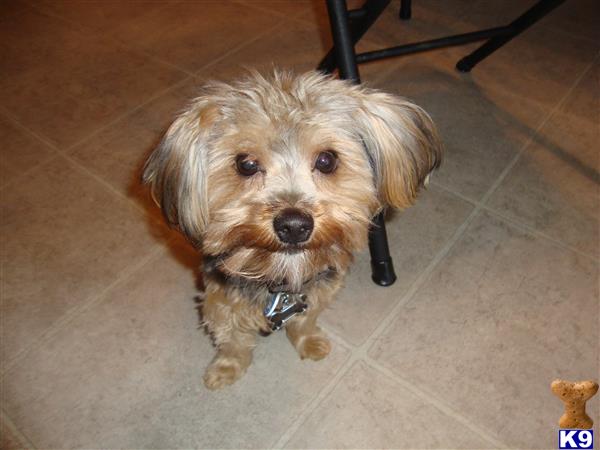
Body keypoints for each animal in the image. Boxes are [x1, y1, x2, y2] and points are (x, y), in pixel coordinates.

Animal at [141, 70, 440, 390]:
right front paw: (226, 368)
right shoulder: (221, 302)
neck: (281, 277)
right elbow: (233, 341)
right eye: (246, 164)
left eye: (327, 160)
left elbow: (305, 321)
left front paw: (309, 342)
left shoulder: (317, 293)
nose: (294, 225)